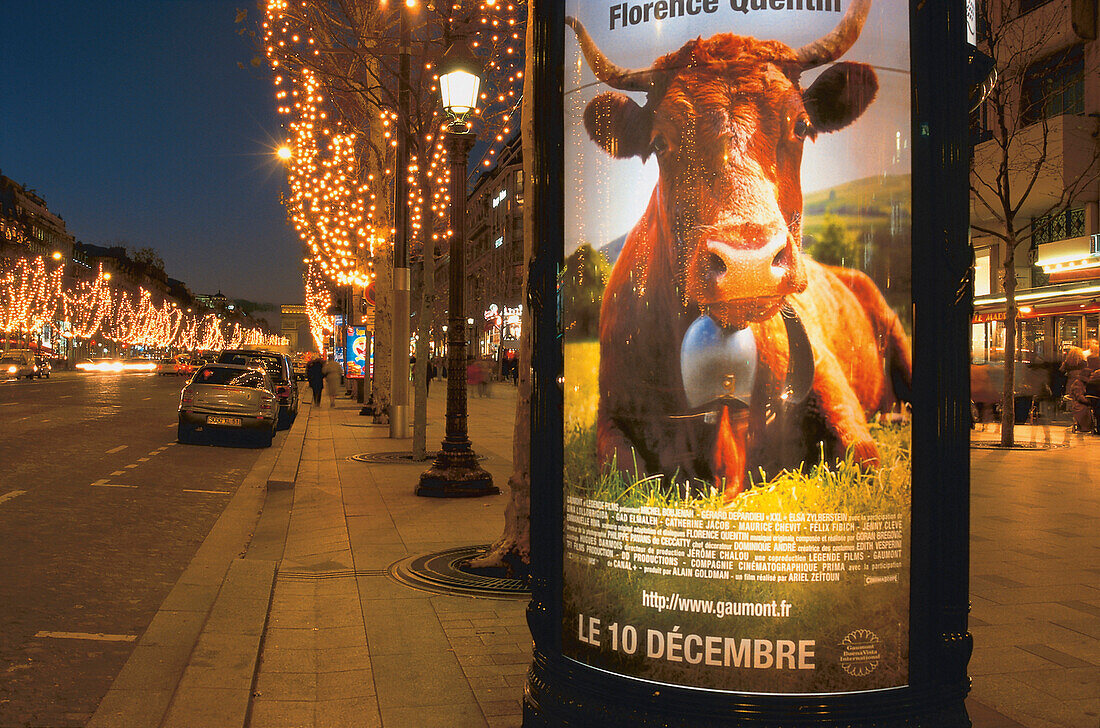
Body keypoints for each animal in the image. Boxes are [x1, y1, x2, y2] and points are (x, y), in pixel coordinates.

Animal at [567, 0, 910, 501]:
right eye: (660, 142)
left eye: (801, 125)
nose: (749, 262)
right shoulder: (611, 419)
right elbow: (622, 476)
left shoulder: (839, 401)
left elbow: (867, 463)